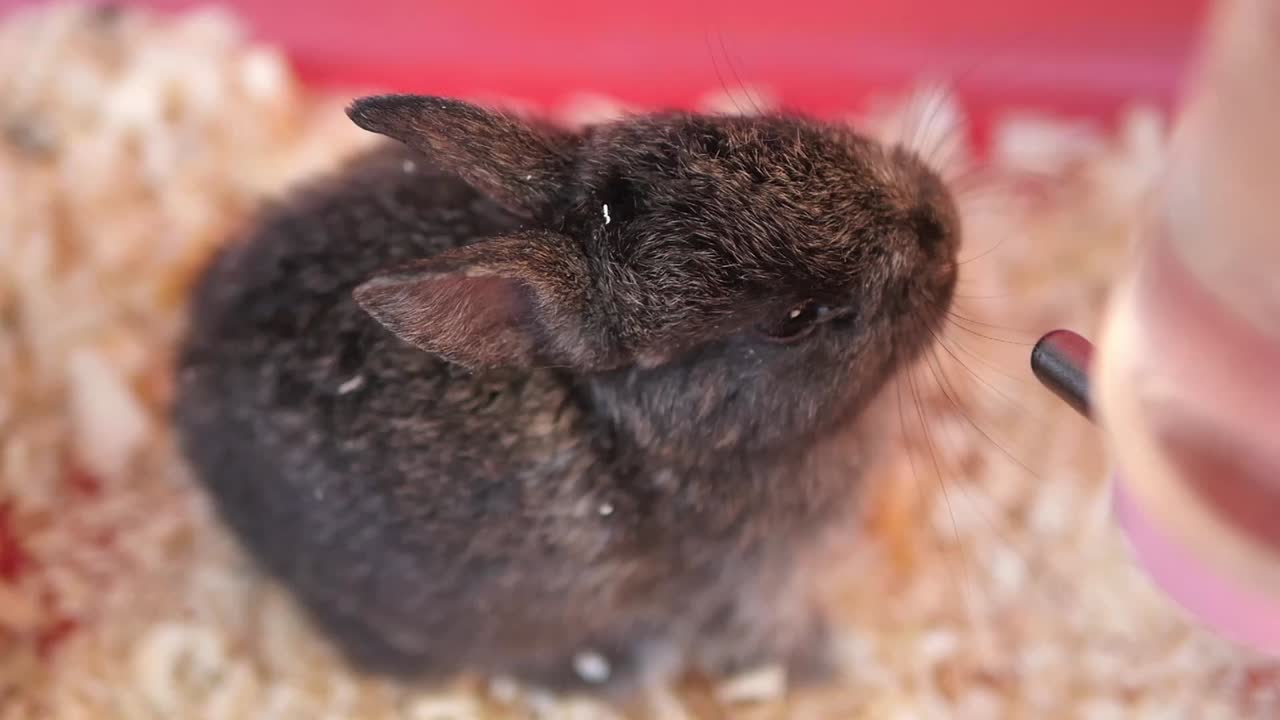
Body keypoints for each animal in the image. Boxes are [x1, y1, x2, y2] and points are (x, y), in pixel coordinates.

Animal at [172, 94, 961, 697]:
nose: (943, 229)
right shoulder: (736, 593)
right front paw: (829, 665)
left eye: (746, 123)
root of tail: (189, 377)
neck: (651, 434)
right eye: (793, 320)